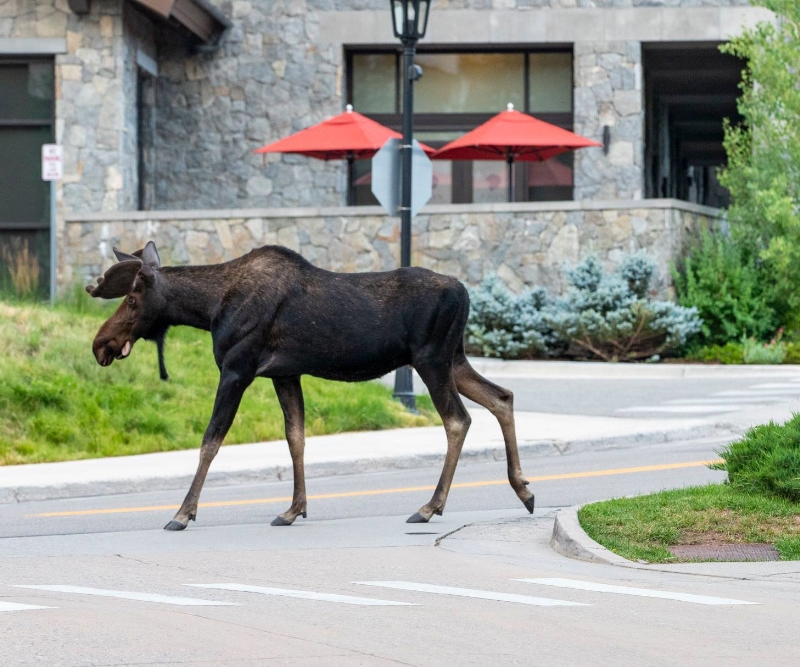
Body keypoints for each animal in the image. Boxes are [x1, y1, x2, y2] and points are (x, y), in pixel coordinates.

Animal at [87, 243, 536, 528]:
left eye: (131, 299)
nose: (99, 344)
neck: (209, 309)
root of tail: (466, 293)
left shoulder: (237, 368)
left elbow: (211, 440)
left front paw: (183, 513)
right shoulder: (285, 373)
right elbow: (296, 437)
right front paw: (293, 510)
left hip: (431, 358)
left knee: (458, 420)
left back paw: (430, 506)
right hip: (453, 357)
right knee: (502, 396)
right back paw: (523, 490)